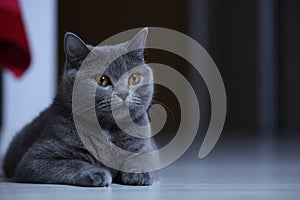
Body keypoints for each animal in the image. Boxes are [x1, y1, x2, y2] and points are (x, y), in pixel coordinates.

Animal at [2, 27, 158, 186]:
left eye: (134, 78)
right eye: (102, 80)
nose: (123, 93)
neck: (107, 130)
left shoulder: (148, 146)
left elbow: (144, 157)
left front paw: (139, 173)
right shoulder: (35, 159)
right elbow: (71, 163)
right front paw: (96, 173)